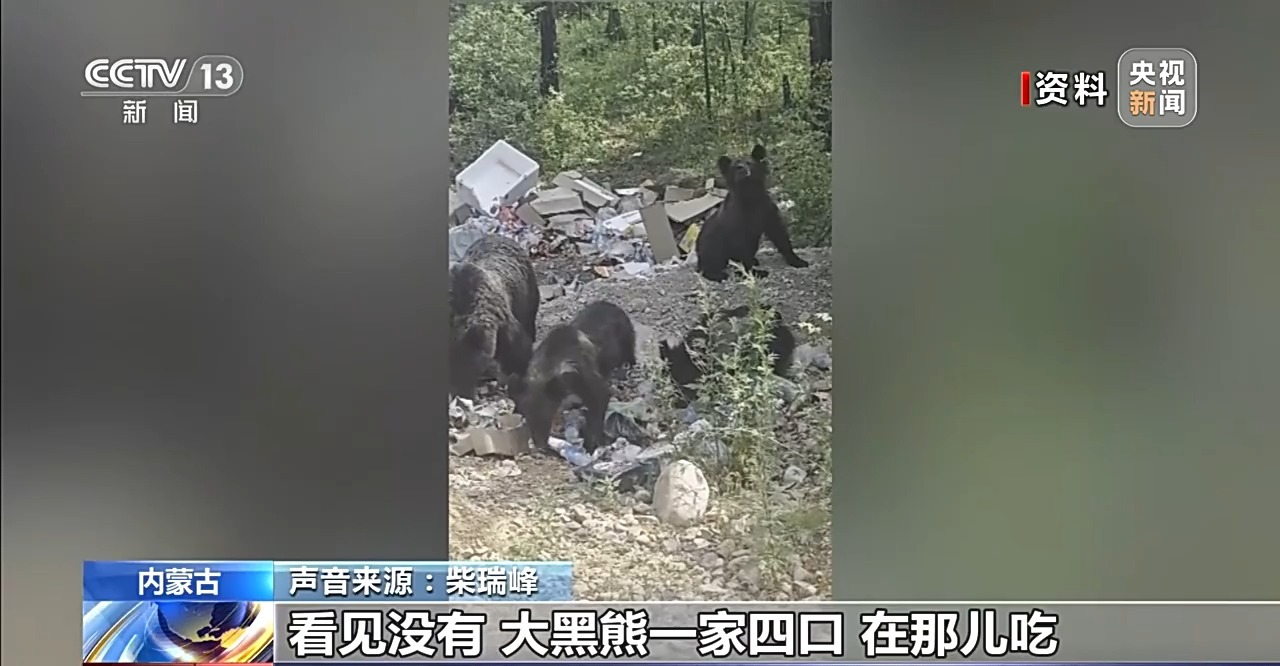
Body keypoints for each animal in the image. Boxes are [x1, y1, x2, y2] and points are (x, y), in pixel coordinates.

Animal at [508, 300, 637, 453]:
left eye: (546, 416)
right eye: (527, 418)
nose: (540, 446)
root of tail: (612, 305)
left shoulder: (587, 381)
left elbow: (598, 405)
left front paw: (591, 445)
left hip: (627, 343)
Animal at [695, 144, 810, 282]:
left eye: (749, 163)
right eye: (735, 166)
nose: (741, 169)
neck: (750, 197)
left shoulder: (769, 216)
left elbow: (782, 238)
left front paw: (797, 261)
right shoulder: (738, 230)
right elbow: (744, 254)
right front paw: (754, 273)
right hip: (711, 244)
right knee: (711, 263)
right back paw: (719, 274)